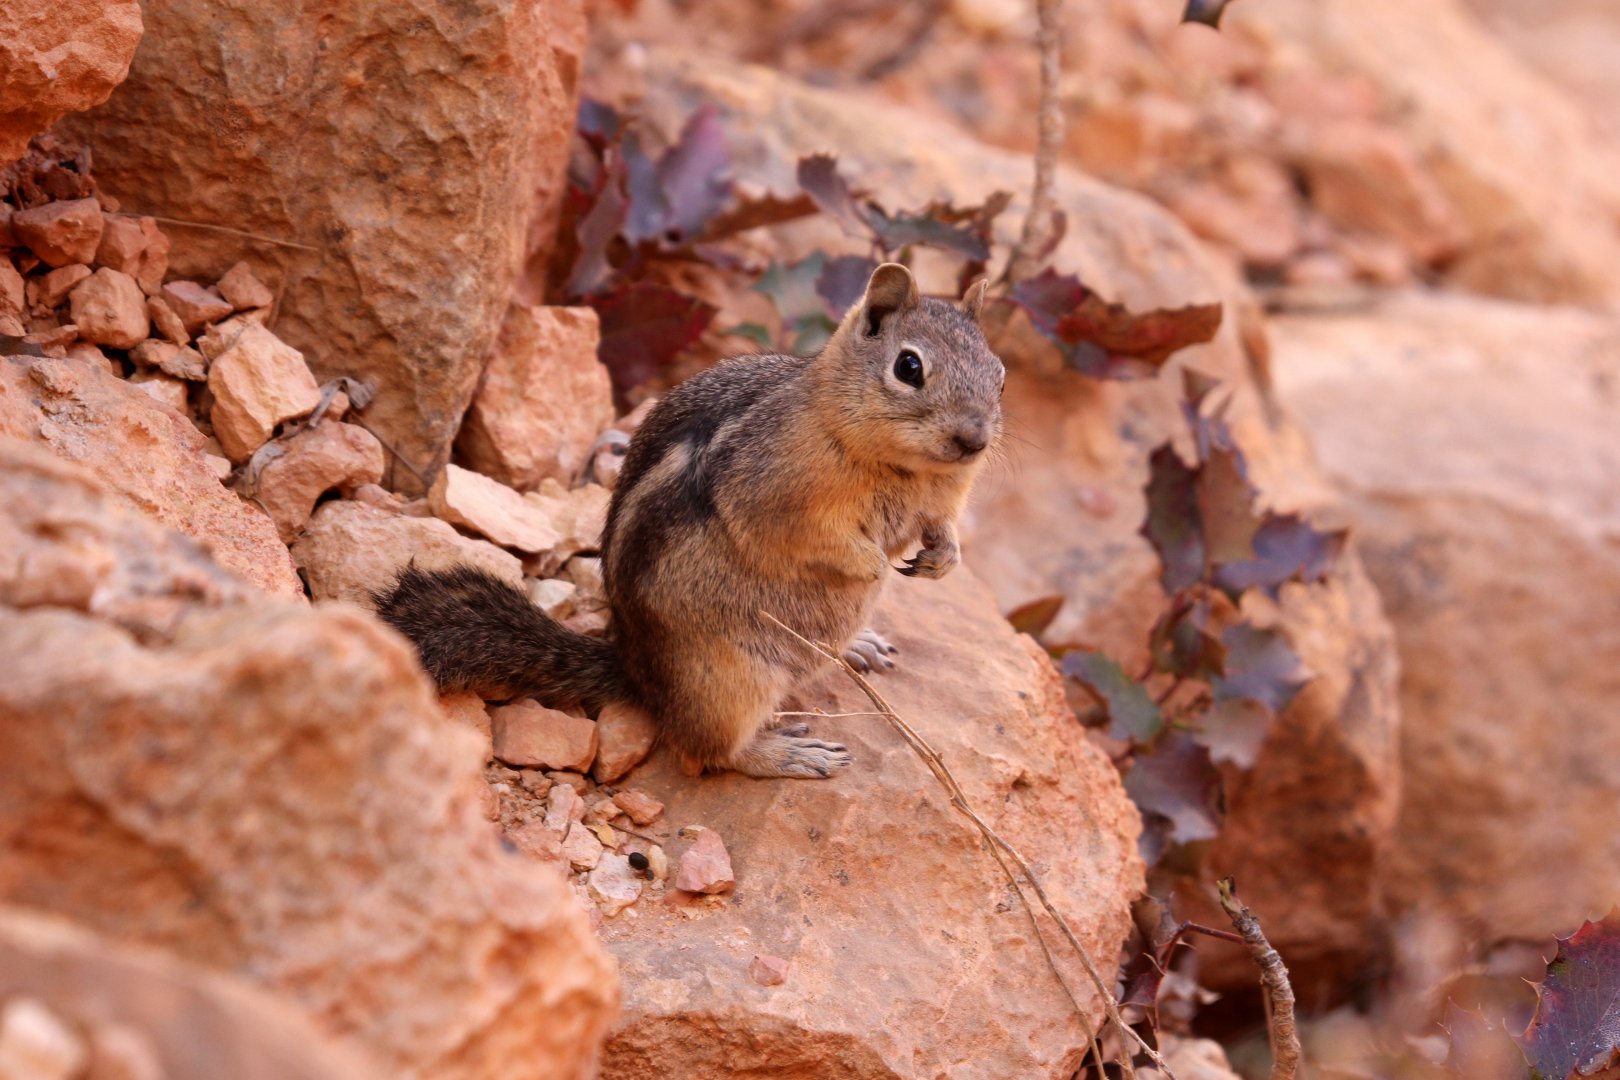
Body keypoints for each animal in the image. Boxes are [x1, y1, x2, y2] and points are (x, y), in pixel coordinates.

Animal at [376, 262, 1004, 779]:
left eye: (999, 375)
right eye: (909, 366)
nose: (974, 440)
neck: (905, 467)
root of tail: (637, 673)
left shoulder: (943, 499)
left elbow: (942, 526)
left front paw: (944, 557)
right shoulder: (774, 495)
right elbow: (821, 539)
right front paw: (872, 566)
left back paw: (857, 646)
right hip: (729, 680)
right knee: (709, 751)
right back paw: (787, 753)